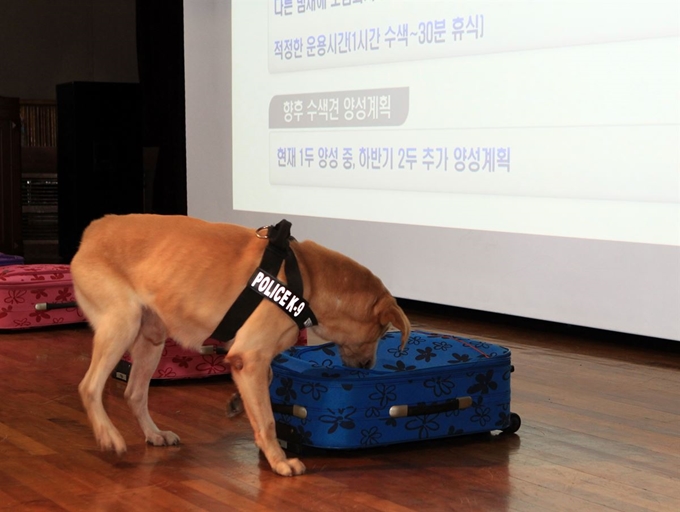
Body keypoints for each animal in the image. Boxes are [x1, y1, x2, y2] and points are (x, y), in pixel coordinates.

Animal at [70, 213, 410, 476]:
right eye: (382, 332)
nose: (368, 366)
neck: (307, 279)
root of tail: (94, 230)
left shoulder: (247, 359)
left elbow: (265, 385)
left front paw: (237, 400)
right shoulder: (251, 355)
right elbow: (268, 420)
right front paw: (279, 462)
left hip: (152, 338)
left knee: (135, 393)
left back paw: (154, 434)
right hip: (122, 324)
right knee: (89, 387)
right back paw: (108, 435)